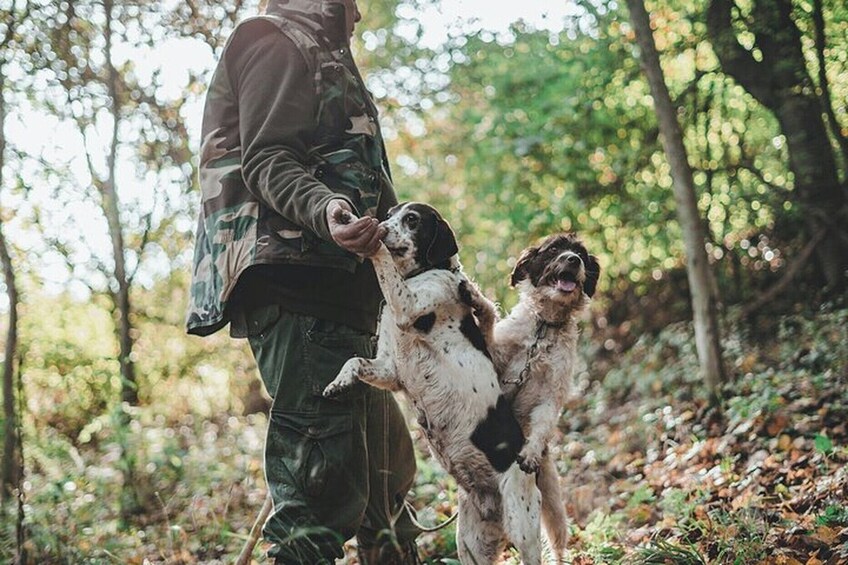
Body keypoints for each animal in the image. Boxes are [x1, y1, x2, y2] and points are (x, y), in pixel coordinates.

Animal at [322, 203, 548, 564]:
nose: (380, 224)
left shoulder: (408, 304)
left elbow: (381, 255)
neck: (421, 274)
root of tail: (491, 505)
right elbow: (354, 361)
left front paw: (367, 236)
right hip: (468, 543)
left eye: (412, 220)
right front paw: (339, 382)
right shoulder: (389, 369)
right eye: (390, 212)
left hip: (522, 526)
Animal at [474, 232, 600, 560]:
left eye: (582, 254)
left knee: (557, 543)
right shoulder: (497, 364)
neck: (544, 328)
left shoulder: (550, 397)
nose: (574, 260)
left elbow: (542, 422)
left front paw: (529, 451)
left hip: (553, 505)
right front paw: (478, 302)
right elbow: (489, 322)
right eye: (554, 248)